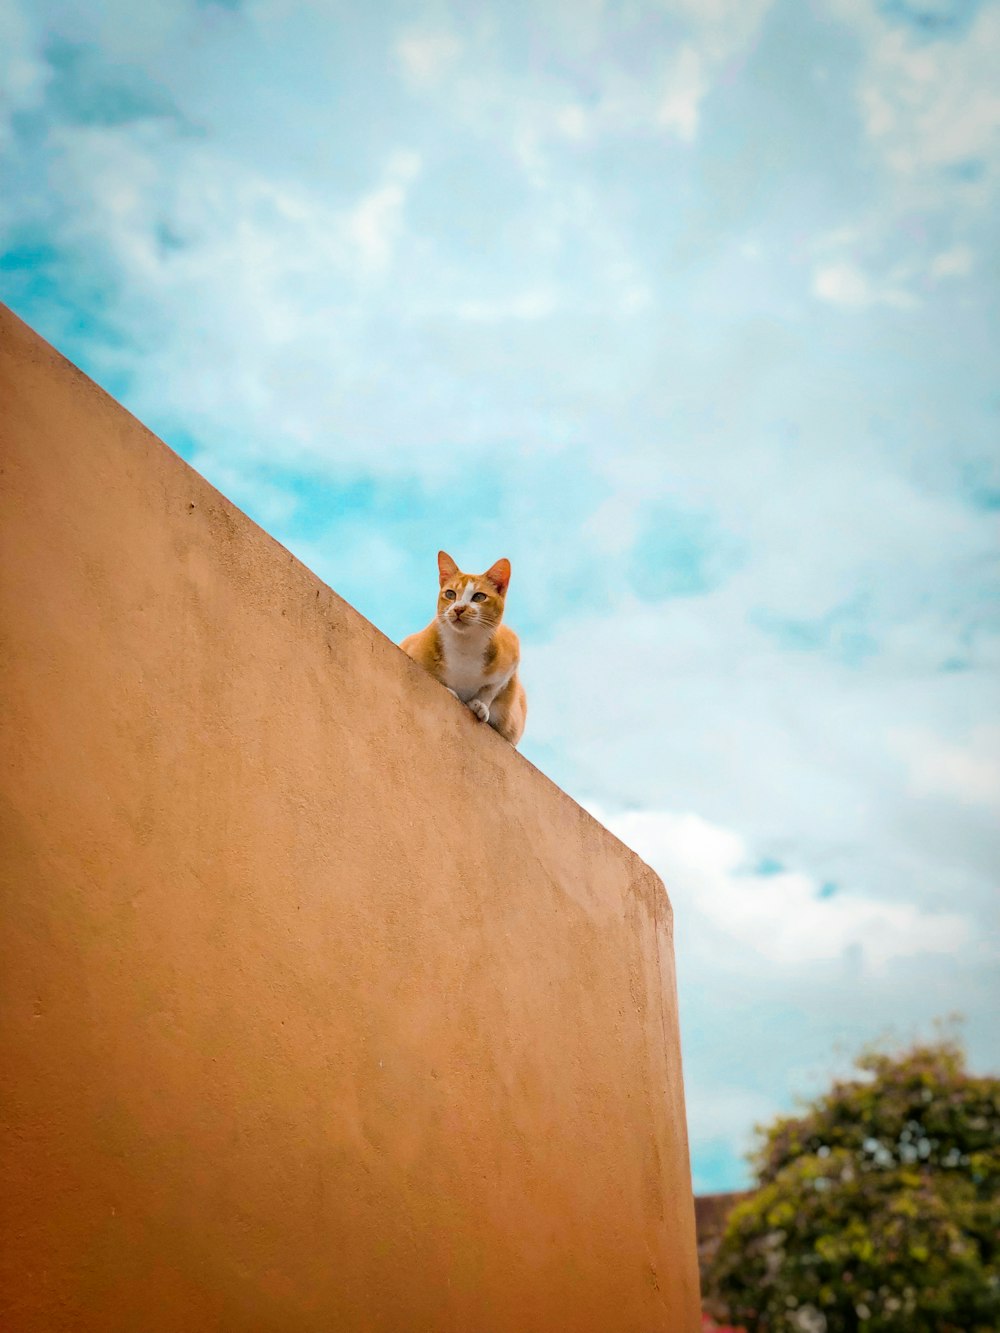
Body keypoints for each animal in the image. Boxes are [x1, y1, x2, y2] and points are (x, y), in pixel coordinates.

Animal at [400, 546, 528, 746]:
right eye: (450, 594)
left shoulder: (512, 652)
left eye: (479, 596)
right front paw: (451, 691)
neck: (464, 645)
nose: (458, 608)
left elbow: (491, 689)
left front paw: (480, 705)